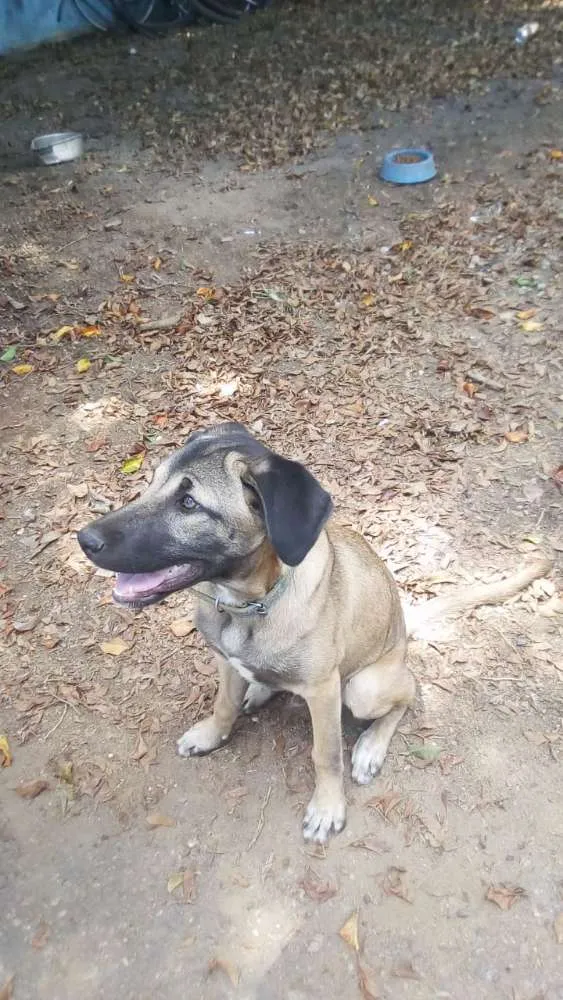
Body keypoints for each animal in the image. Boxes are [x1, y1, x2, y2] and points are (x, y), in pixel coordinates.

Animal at [77, 422, 552, 844]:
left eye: (189, 503)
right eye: (151, 482)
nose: (84, 539)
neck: (251, 605)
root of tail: (403, 626)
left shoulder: (324, 691)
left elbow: (326, 755)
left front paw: (327, 808)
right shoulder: (225, 661)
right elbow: (223, 704)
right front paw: (212, 734)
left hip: (364, 686)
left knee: (409, 693)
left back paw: (370, 748)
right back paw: (260, 690)